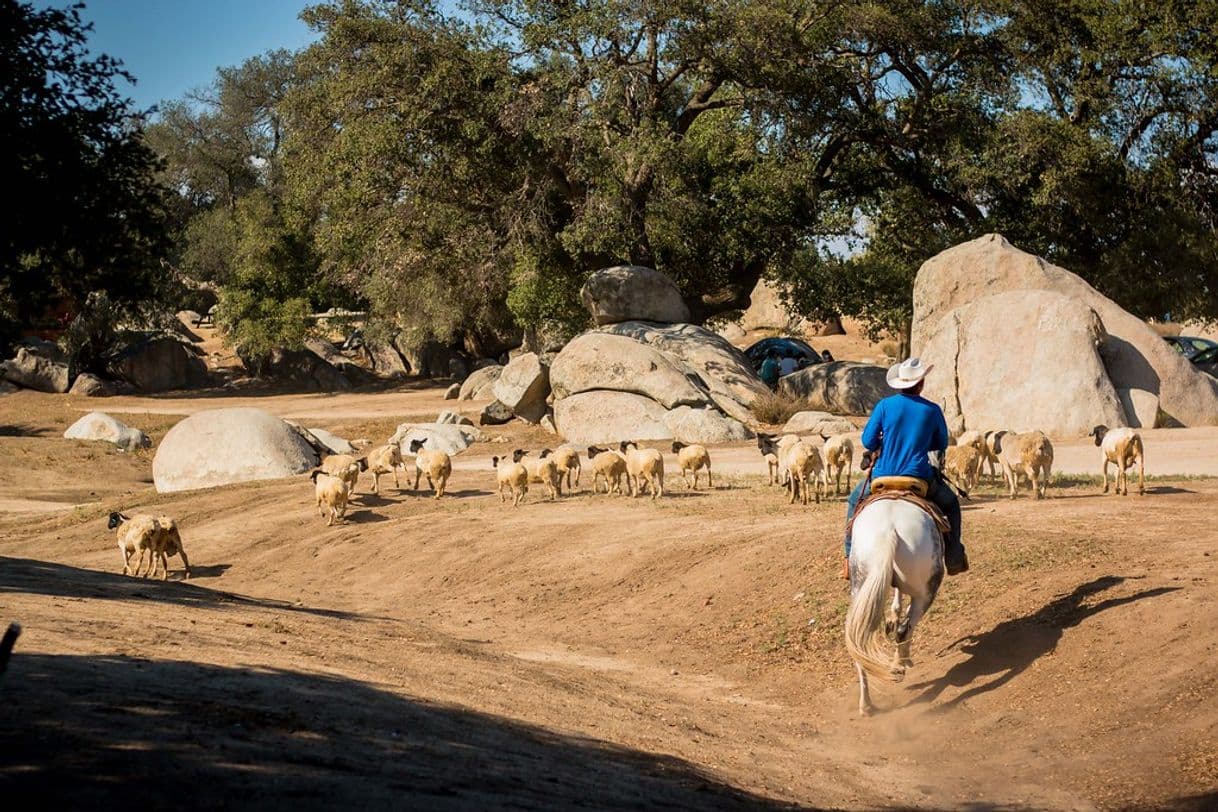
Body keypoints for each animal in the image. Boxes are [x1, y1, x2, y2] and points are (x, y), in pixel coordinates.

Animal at [847, 499, 940, 715]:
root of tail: (888, 531)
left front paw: (893, 616)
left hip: (860, 585)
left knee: (859, 646)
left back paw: (866, 705)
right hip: (926, 592)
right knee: (906, 629)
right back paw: (901, 662)